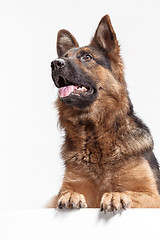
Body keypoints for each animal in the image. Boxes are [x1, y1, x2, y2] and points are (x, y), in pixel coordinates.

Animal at [49, 14, 160, 212]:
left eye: (87, 57)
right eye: (63, 57)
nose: (55, 63)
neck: (94, 132)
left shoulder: (153, 196)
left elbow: (129, 192)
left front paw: (116, 195)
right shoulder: (67, 189)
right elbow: (67, 192)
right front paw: (70, 196)